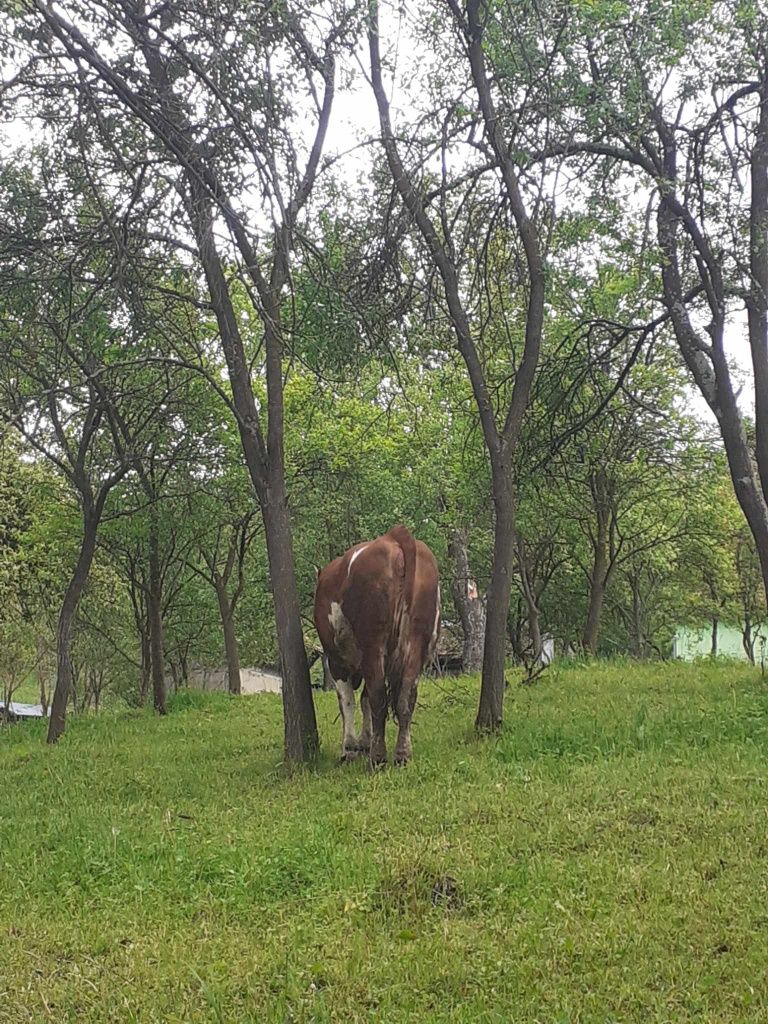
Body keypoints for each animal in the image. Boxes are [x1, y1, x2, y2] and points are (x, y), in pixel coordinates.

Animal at [311, 524, 438, 765]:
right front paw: (364, 741)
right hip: (419, 642)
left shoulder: (335, 660)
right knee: (406, 696)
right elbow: (364, 700)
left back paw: (378, 757)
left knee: (379, 696)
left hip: (372, 643)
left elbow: (347, 701)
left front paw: (350, 748)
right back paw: (402, 754)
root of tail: (394, 536)